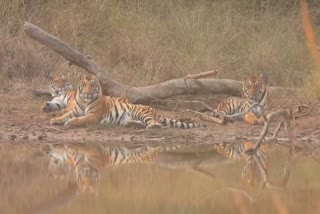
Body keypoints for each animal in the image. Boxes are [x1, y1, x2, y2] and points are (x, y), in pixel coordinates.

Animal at [51, 74, 204, 130]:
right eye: (84, 84)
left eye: (93, 84)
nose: (88, 93)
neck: (84, 100)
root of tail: (154, 109)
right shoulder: (75, 111)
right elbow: (65, 115)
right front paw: (55, 120)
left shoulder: (93, 115)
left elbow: (81, 119)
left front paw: (70, 123)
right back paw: (132, 124)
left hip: (141, 112)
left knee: (155, 123)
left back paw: (153, 126)